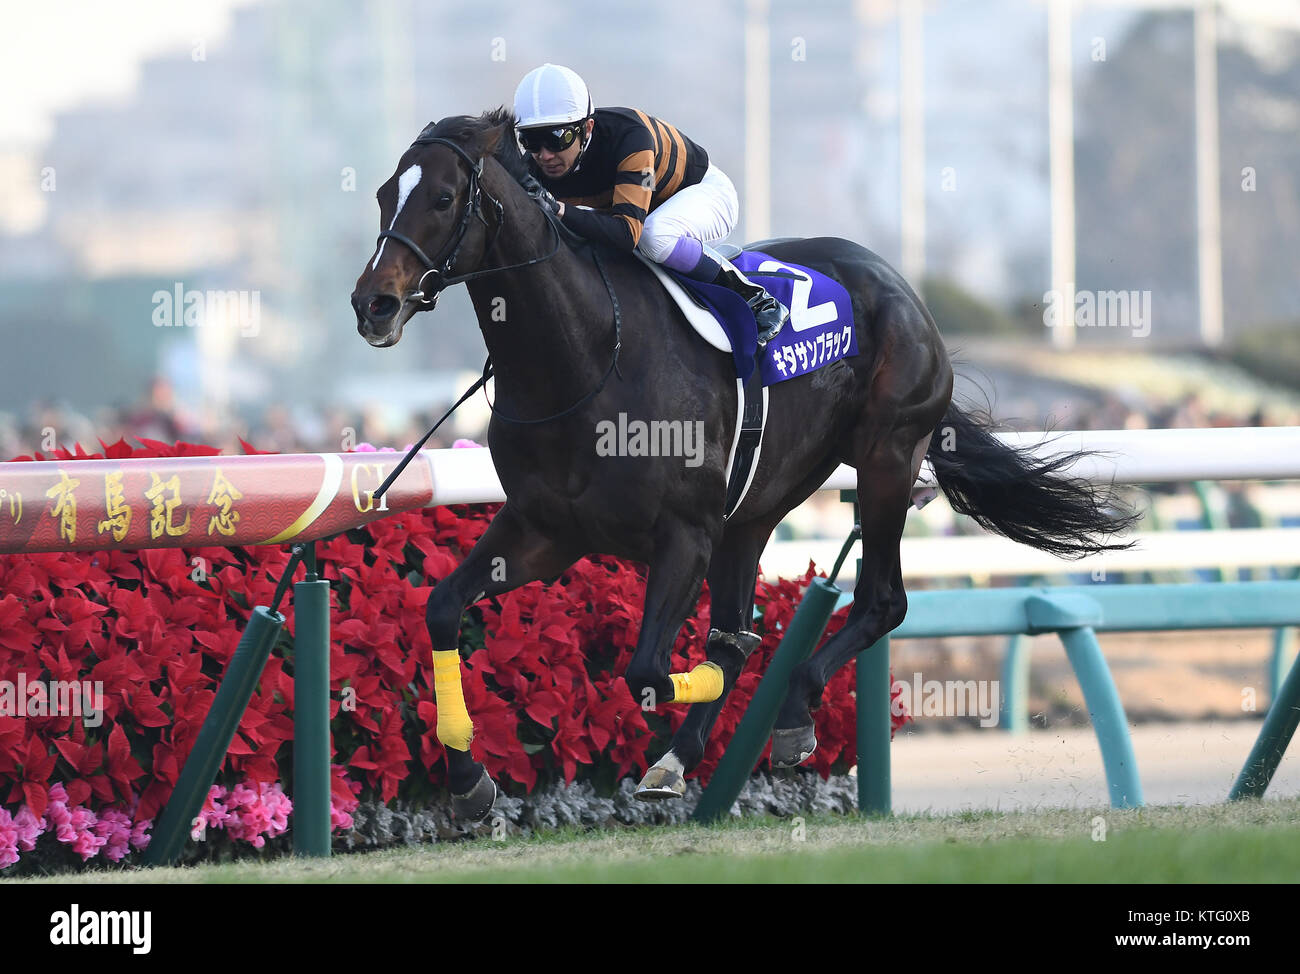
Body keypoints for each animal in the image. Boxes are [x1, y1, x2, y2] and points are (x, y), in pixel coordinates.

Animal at [350, 108, 1135, 821]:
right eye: (385, 194)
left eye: (442, 197)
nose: (373, 303)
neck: (584, 358)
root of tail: (899, 286)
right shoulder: (545, 531)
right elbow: (443, 607)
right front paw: (467, 777)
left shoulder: (683, 533)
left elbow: (649, 670)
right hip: (753, 510)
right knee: (742, 626)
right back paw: (698, 747)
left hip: (884, 457)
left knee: (881, 601)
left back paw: (790, 716)